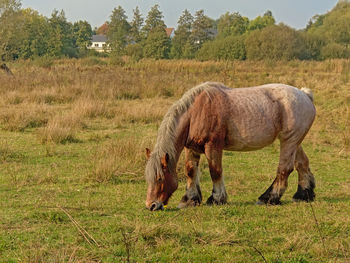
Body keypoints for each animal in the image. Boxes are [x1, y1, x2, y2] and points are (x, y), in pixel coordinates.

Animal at [144, 82, 316, 212]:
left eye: (159, 178)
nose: (151, 205)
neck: (196, 112)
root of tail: (305, 95)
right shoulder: (191, 148)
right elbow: (190, 172)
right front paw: (190, 200)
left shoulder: (213, 146)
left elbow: (215, 171)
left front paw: (216, 199)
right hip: (294, 142)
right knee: (302, 164)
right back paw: (303, 194)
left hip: (289, 141)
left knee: (284, 169)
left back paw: (268, 197)